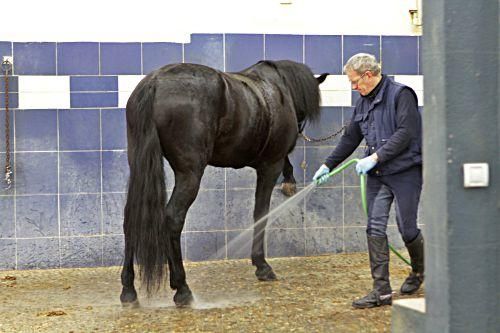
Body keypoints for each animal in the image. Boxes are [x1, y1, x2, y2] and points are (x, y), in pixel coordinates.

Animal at [119, 60, 326, 306]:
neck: (276, 89)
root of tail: (155, 83)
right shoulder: (269, 167)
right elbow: (261, 214)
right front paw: (262, 266)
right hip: (190, 174)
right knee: (172, 219)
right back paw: (182, 288)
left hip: (140, 165)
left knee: (132, 218)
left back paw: (129, 289)